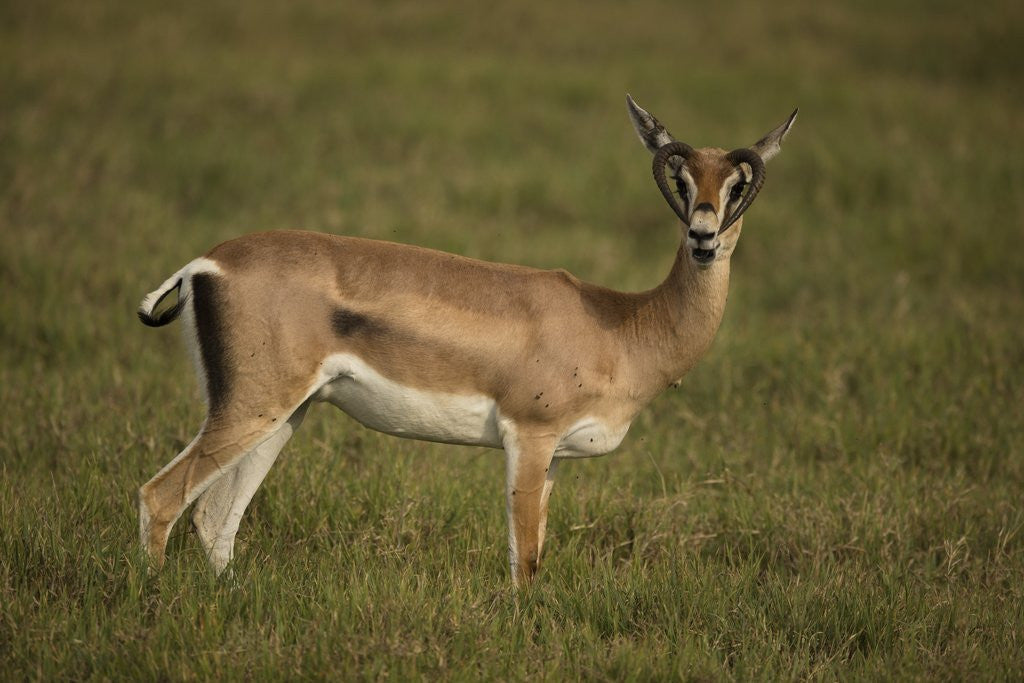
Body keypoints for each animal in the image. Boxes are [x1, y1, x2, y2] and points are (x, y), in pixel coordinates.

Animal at [136, 96, 797, 585]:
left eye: (736, 186)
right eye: (681, 180)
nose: (704, 237)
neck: (621, 324)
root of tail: (206, 264)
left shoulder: (553, 459)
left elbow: (533, 554)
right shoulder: (528, 437)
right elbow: (524, 563)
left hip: (284, 414)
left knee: (214, 520)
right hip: (253, 408)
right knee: (160, 497)